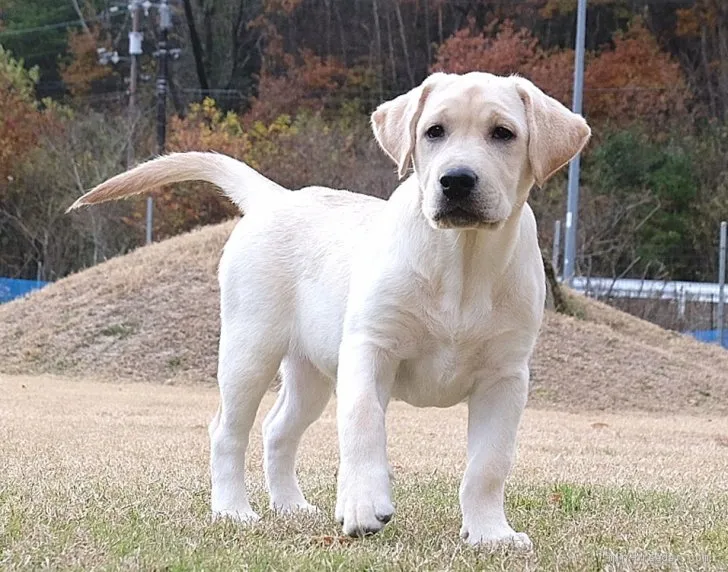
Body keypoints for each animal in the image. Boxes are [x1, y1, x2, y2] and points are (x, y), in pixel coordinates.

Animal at [71, 72, 588, 548]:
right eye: (434, 131)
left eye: (503, 133)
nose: (456, 181)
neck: (462, 260)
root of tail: (276, 196)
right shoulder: (368, 348)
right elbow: (362, 422)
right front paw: (362, 505)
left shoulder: (506, 377)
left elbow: (489, 463)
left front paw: (490, 534)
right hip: (249, 349)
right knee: (227, 431)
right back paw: (233, 510)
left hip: (310, 372)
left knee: (278, 429)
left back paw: (291, 506)